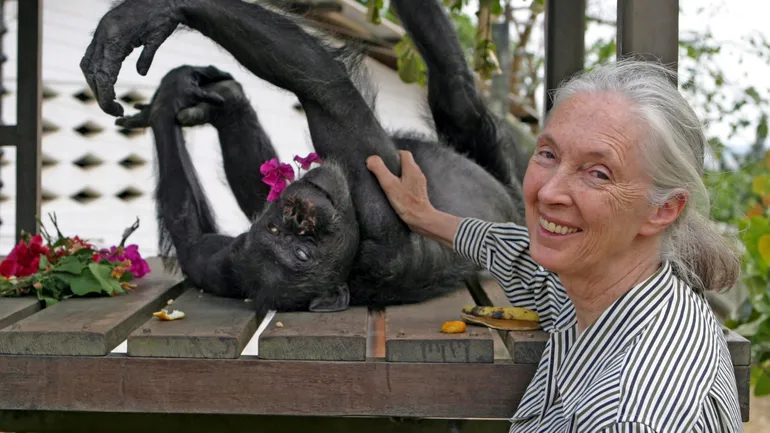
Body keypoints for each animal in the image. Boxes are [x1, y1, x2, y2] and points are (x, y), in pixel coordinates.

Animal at [79, 0, 529, 314]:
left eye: (279, 229)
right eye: (300, 251)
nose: (300, 215)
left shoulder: (222, 263)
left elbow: (191, 239)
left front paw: (159, 85)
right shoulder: (379, 213)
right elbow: (326, 85)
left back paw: (221, 100)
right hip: (491, 160)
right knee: (454, 86)